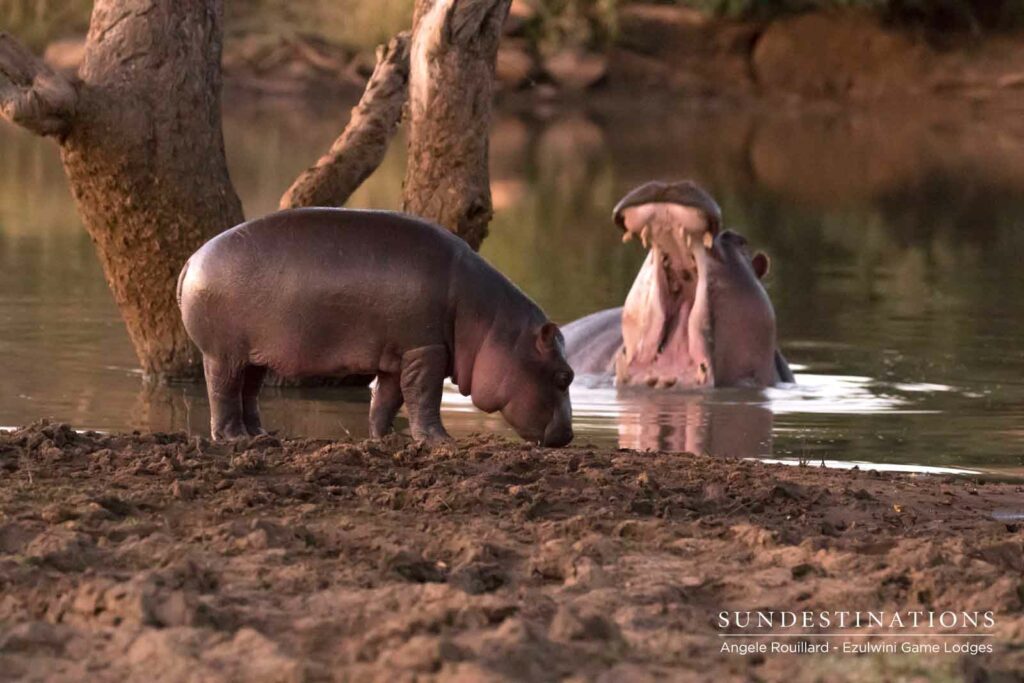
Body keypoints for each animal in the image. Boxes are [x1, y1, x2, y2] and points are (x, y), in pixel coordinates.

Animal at [177, 208, 574, 446]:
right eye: (564, 377)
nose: (569, 435)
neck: (491, 322)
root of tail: (192, 260)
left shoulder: (398, 356)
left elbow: (387, 398)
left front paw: (386, 440)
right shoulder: (426, 349)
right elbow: (422, 396)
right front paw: (439, 442)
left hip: (255, 356)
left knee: (248, 392)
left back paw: (261, 436)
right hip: (223, 354)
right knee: (222, 392)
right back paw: (235, 439)